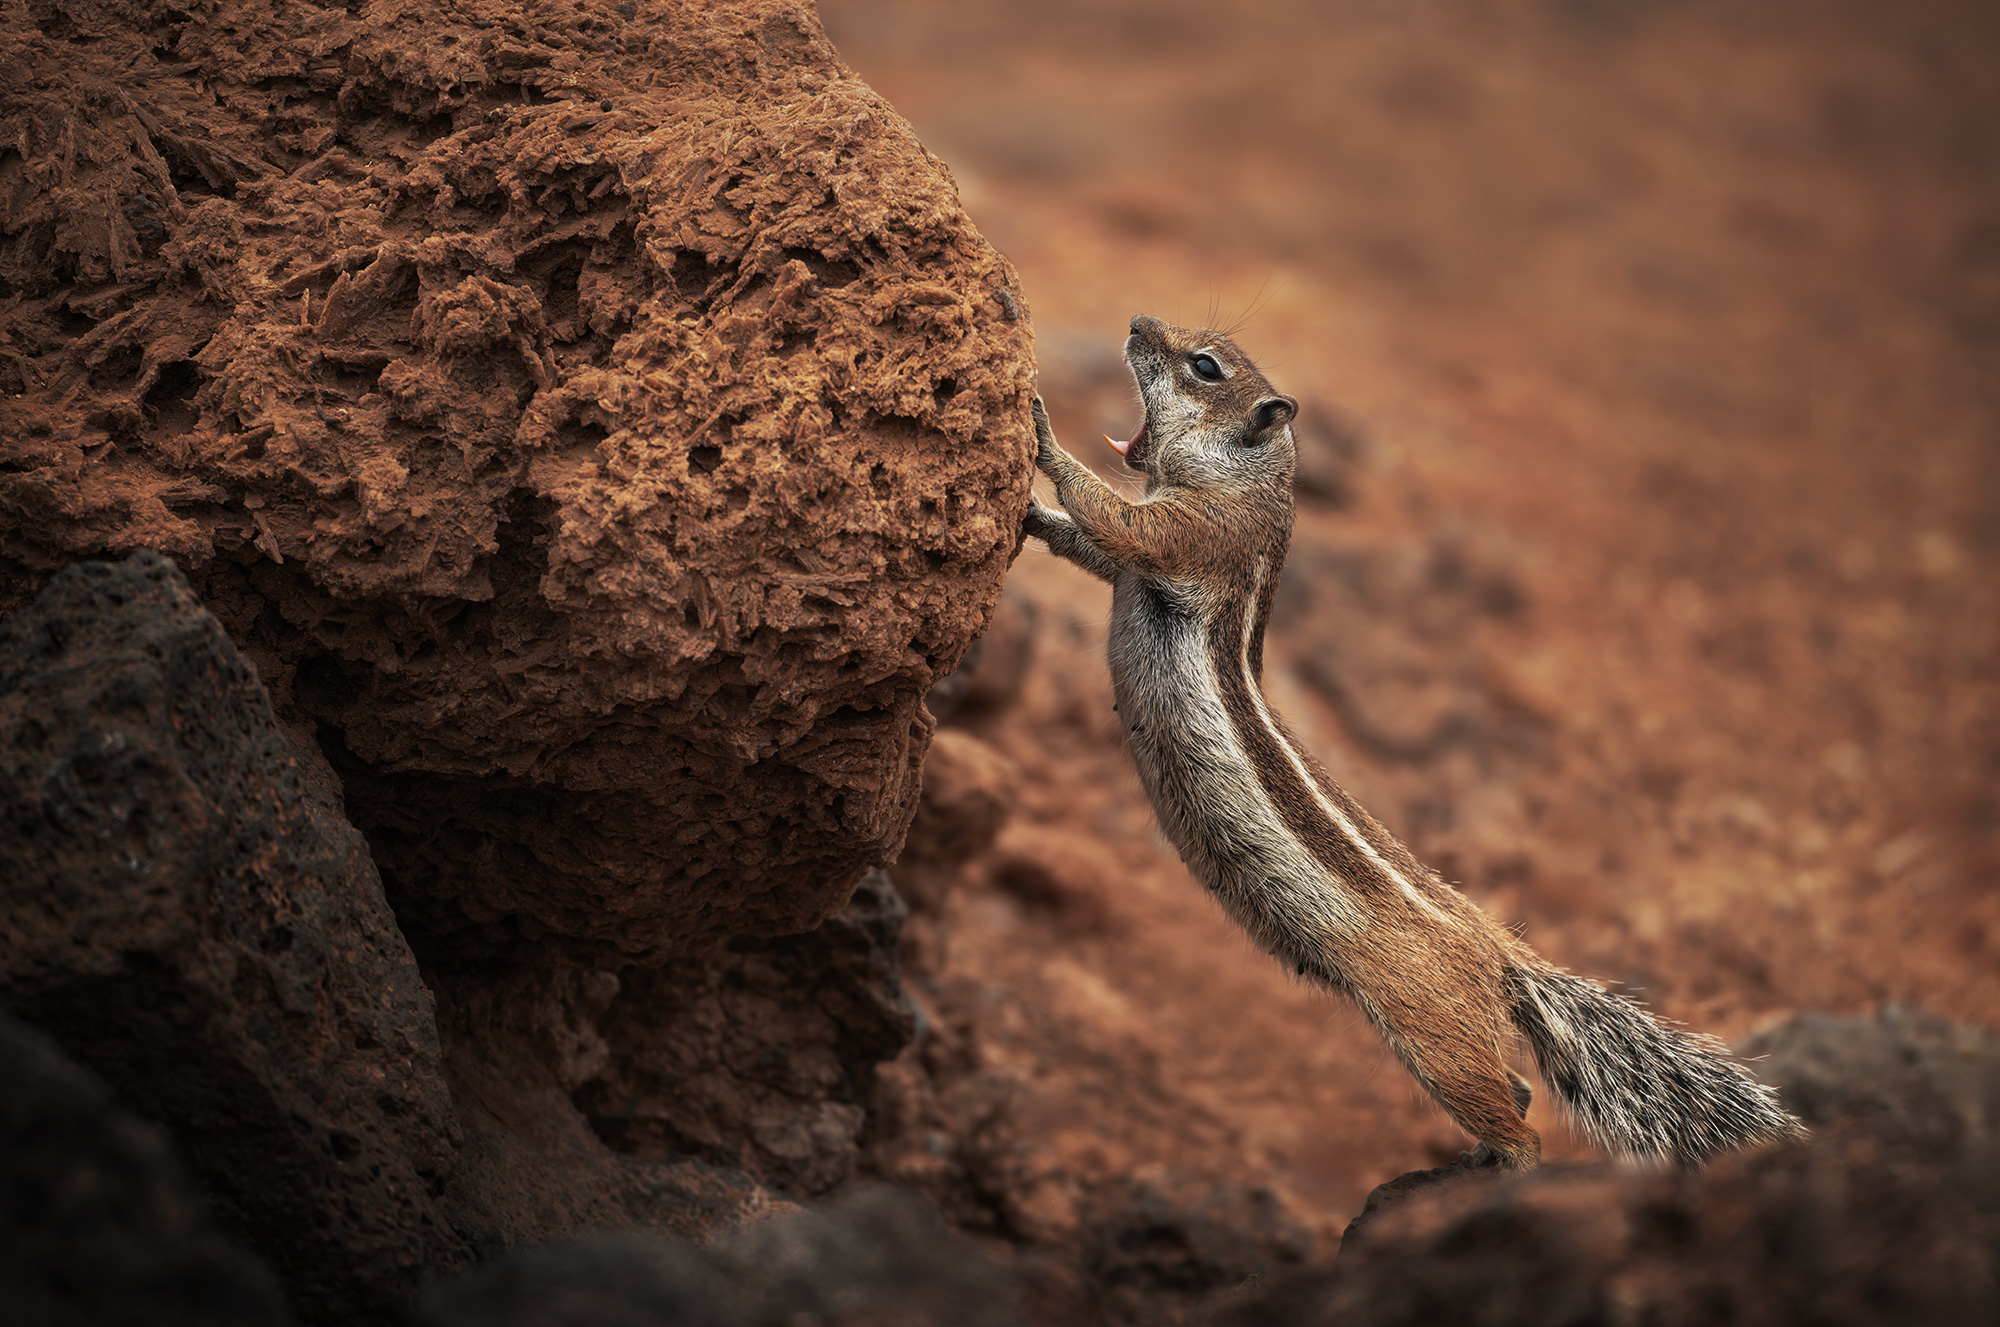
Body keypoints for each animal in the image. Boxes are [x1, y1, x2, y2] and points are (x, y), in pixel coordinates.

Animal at [1020, 314, 1803, 1169]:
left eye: (1204, 366)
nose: (1137, 324)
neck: (1251, 484)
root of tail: (1499, 950)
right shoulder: (1147, 559)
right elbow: (1094, 545)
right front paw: (1028, 514)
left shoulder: (1197, 538)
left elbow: (1117, 518)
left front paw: (1041, 433)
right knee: (1517, 1089)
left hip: (1435, 1038)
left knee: (1519, 1118)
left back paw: (1502, 1165)